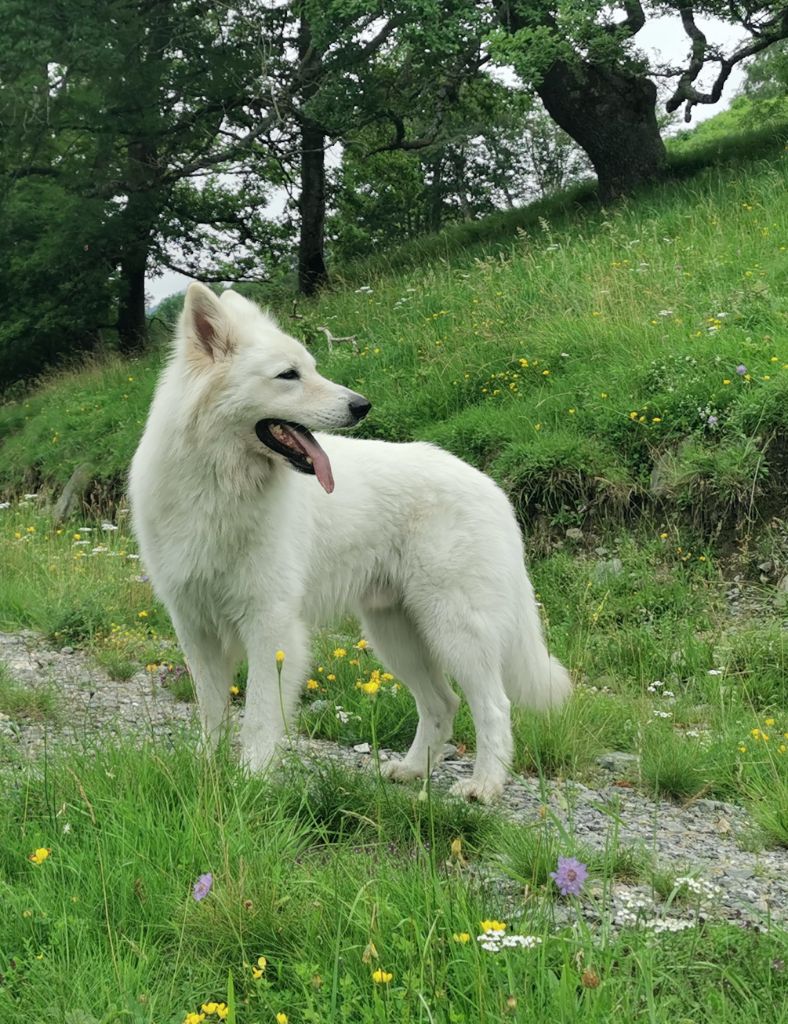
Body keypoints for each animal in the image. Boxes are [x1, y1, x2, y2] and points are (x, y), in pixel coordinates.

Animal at [130, 280, 573, 798]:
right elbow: (211, 714)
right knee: (442, 704)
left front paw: (251, 781)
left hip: (455, 629)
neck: (219, 485)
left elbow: (258, 716)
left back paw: (483, 785)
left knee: (494, 706)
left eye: (311, 367)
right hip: (397, 636)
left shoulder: (270, 627)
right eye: (289, 375)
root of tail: (492, 488)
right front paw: (208, 774)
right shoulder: (195, 629)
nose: (362, 405)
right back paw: (412, 770)